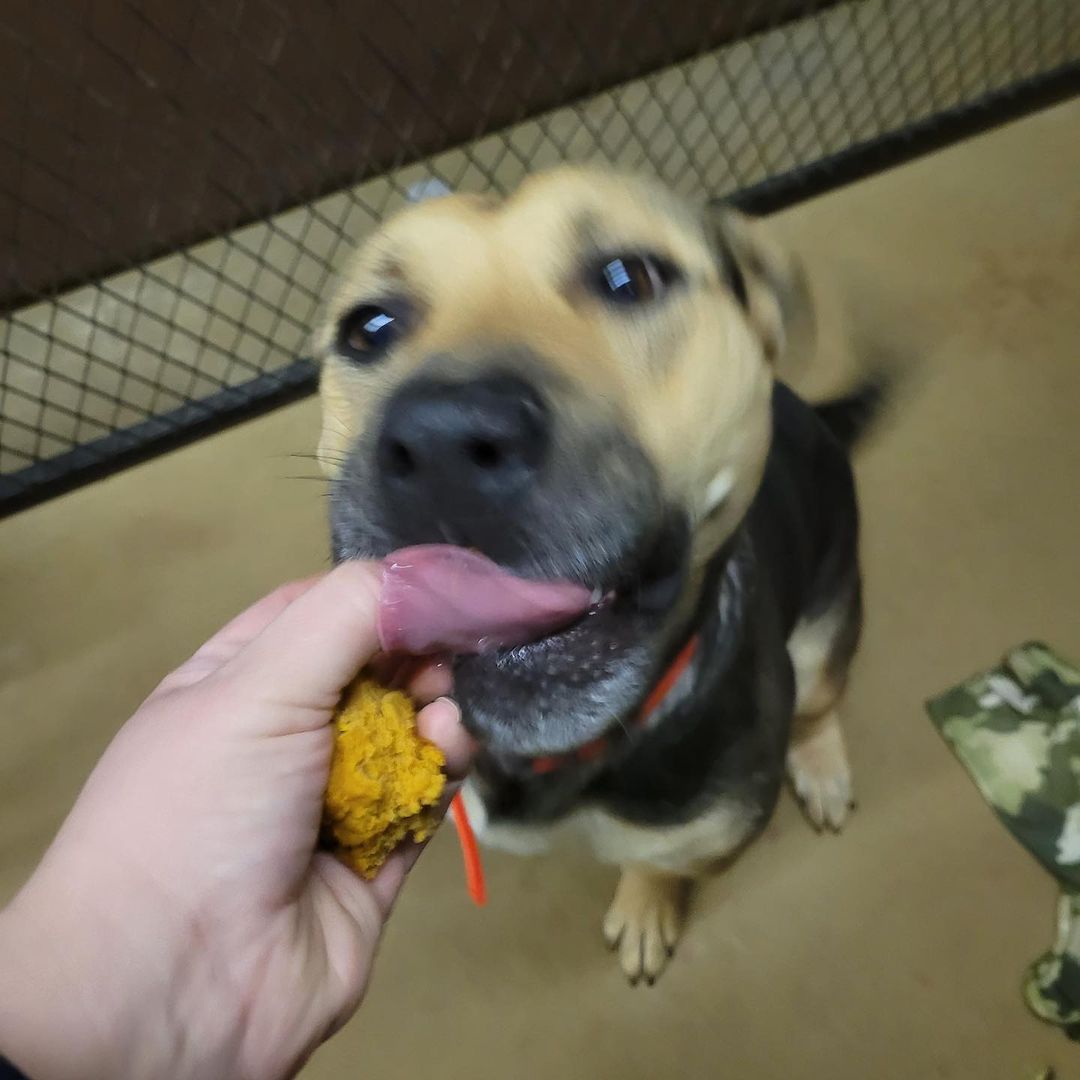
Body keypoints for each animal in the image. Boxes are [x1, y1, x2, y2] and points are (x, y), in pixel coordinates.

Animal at [315, 164, 885, 984]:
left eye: (630, 277)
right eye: (369, 328)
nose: (442, 442)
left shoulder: (708, 836)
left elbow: (658, 864)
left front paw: (646, 907)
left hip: (825, 624)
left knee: (818, 702)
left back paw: (821, 766)